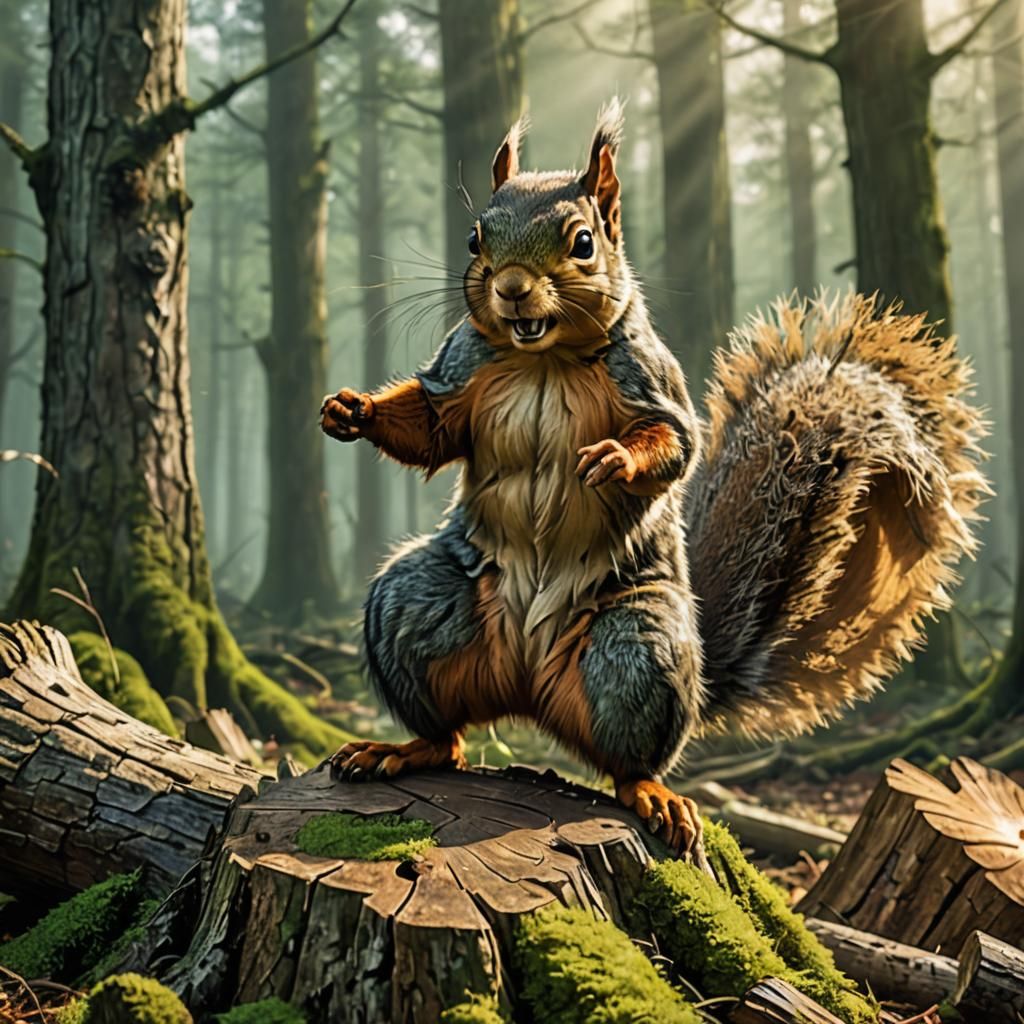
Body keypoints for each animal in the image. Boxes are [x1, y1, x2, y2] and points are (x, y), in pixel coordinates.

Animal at [320, 101, 987, 854]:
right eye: (472, 238)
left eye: (583, 242)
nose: (511, 289)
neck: (543, 357)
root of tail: (525, 689)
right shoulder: (462, 369)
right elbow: (431, 426)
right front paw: (352, 410)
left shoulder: (650, 382)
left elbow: (672, 445)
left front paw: (614, 460)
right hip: (415, 606)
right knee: (449, 735)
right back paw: (400, 749)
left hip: (640, 644)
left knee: (626, 758)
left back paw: (652, 794)